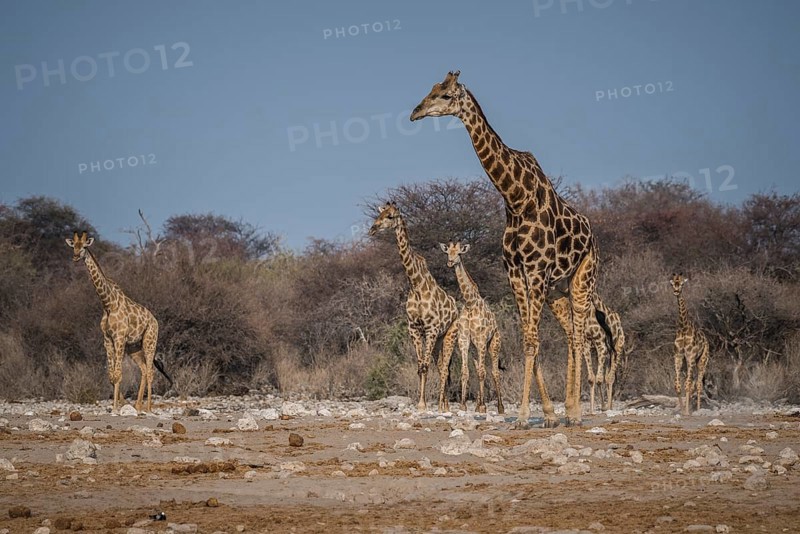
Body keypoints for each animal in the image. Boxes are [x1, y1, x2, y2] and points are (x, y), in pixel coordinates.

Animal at [66, 231, 171, 412]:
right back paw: (138, 405)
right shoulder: (108, 340)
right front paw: (118, 405)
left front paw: (116, 408)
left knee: (151, 371)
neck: (108, 304)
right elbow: (111, 376)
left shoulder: (119, 338)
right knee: (144, 370)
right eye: (74, 246)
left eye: (85, 246)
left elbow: (118, 374)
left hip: (150, 341)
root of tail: (155, 320)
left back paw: (148, 407)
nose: (75, 257)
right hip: (134, 347)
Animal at [368, 203, 460, 411]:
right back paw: (444, 404)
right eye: (380, 214)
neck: (415, 284)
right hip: (438, 339)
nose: (373, 229)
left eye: (390, 216)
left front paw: (422, 404)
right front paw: (422, 402)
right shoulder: (414, 328)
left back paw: (444, 406)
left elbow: (425, 366)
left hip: (449, 334)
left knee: (445, 367)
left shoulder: (431, 328)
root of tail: (457, 308)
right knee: (441, 365)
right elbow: (420, 366)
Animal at [439, 242, 504, 414]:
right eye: (447, 252)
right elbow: (465, 372)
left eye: (459, 253)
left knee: (494, 372)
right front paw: (464, 404)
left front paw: (483, 407)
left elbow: (482, 372)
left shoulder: (481, 338)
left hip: (493, 344)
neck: (470, 302)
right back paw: (478, 405)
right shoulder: (464, 339)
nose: (449, 262)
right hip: (475, 349)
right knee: (480, 367)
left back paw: (500, 407)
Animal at [669, 273, 710, 415]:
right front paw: (682, 410)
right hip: (688, 363)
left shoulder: (691, 356)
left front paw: (687, 412)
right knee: (692, 383)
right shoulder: (678, 356)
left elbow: (687, 385)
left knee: (698, 385)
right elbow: (677, 386)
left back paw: (697, 409)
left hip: (702, 360)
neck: (683, 328)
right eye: (672, 283)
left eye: (682, 284)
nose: (676, 291)